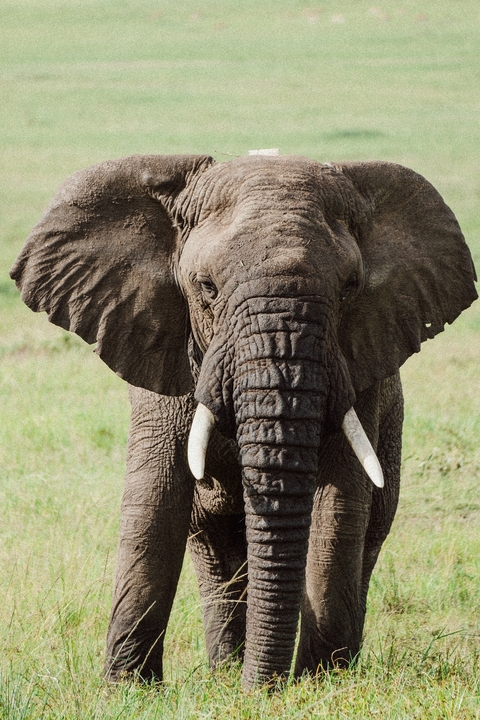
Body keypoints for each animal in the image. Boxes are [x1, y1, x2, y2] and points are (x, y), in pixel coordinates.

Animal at [10, 152, 477, 688]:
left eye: (350, 289)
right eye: (207, 288)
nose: (264, 691)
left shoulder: (361, 366)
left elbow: (338, 507)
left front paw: (322, 683)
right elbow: (155, 499)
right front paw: (127, 689)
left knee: (366, 538)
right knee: (215, 548)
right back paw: (225, 673)